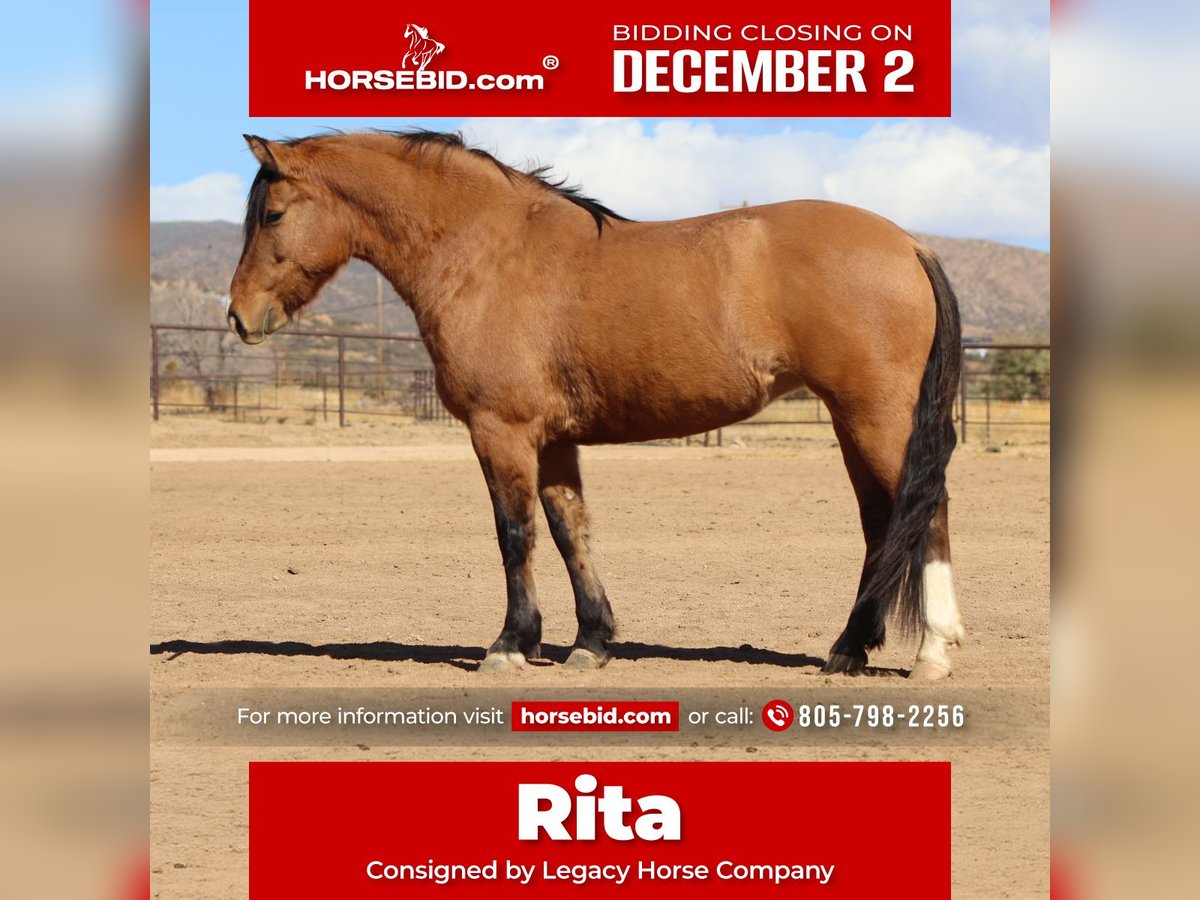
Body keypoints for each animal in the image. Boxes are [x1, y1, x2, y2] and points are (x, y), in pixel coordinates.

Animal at [226, 132, 964, 681]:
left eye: (273, 214)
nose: (239, 316)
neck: (487, 253)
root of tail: (908, 243)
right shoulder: (554, 440)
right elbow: (569, 531)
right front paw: (591, 641)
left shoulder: (501, 432)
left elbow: (514, 533)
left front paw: (510, 644)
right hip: (852, 420)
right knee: (881, 522)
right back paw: (849, 648)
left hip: (877, 419)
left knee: (926, 511)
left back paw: (931, 652)